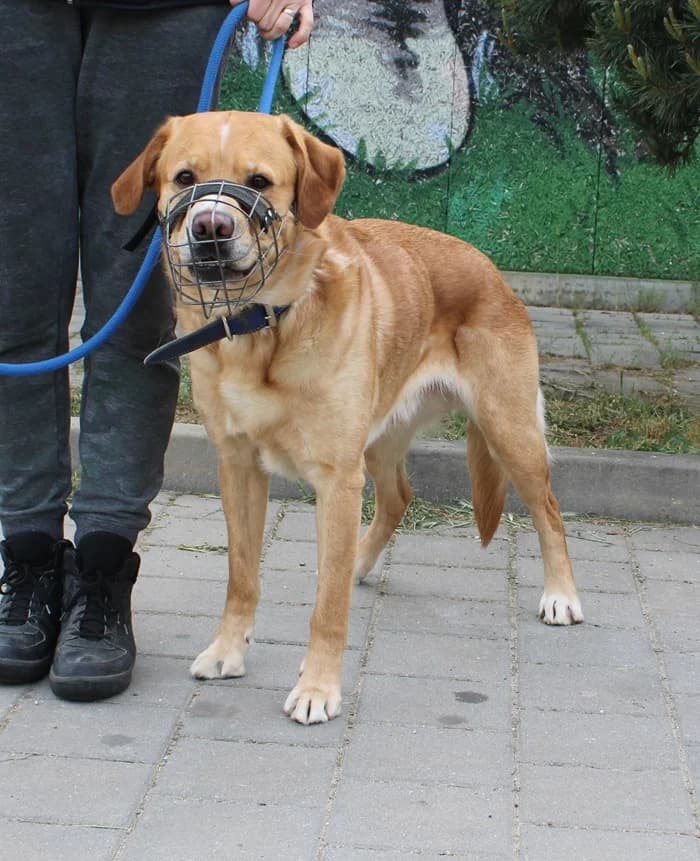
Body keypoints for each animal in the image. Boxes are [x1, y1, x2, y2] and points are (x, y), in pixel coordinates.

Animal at [112, 110, 583, 724]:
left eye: (260, 181)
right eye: (184, 177)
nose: (210, 227)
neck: (262, 327)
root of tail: (490, 267)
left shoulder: (336, 478)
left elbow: (327, 607)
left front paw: (318, 687)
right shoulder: (238, 467)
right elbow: (242, 576)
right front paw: (228, 650)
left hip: (509, 431)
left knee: (548, 509)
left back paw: (561, 595)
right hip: (380, 441)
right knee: (399, 497)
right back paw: (358, 559)